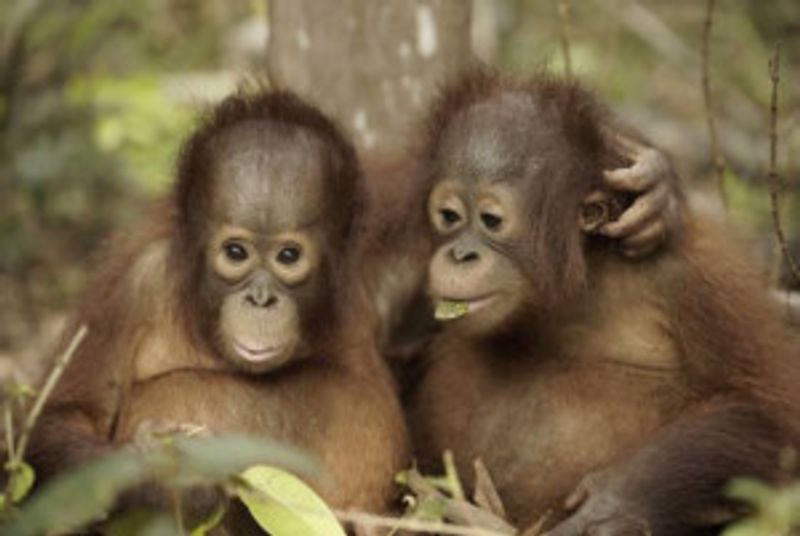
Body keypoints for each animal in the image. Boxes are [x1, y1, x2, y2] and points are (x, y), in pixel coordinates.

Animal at [26, 90, 409, 533]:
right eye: (236, 252)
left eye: (289, 256)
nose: (260, 299)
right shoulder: (129, 289)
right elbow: (62, 417)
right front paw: (172, 478)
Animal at [406, 70, 800, 535]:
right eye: (449, 217)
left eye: (491, 220)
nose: (460, 254)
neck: (573, 288)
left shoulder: (698, 279)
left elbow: (771, 411)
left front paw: (615, 501)